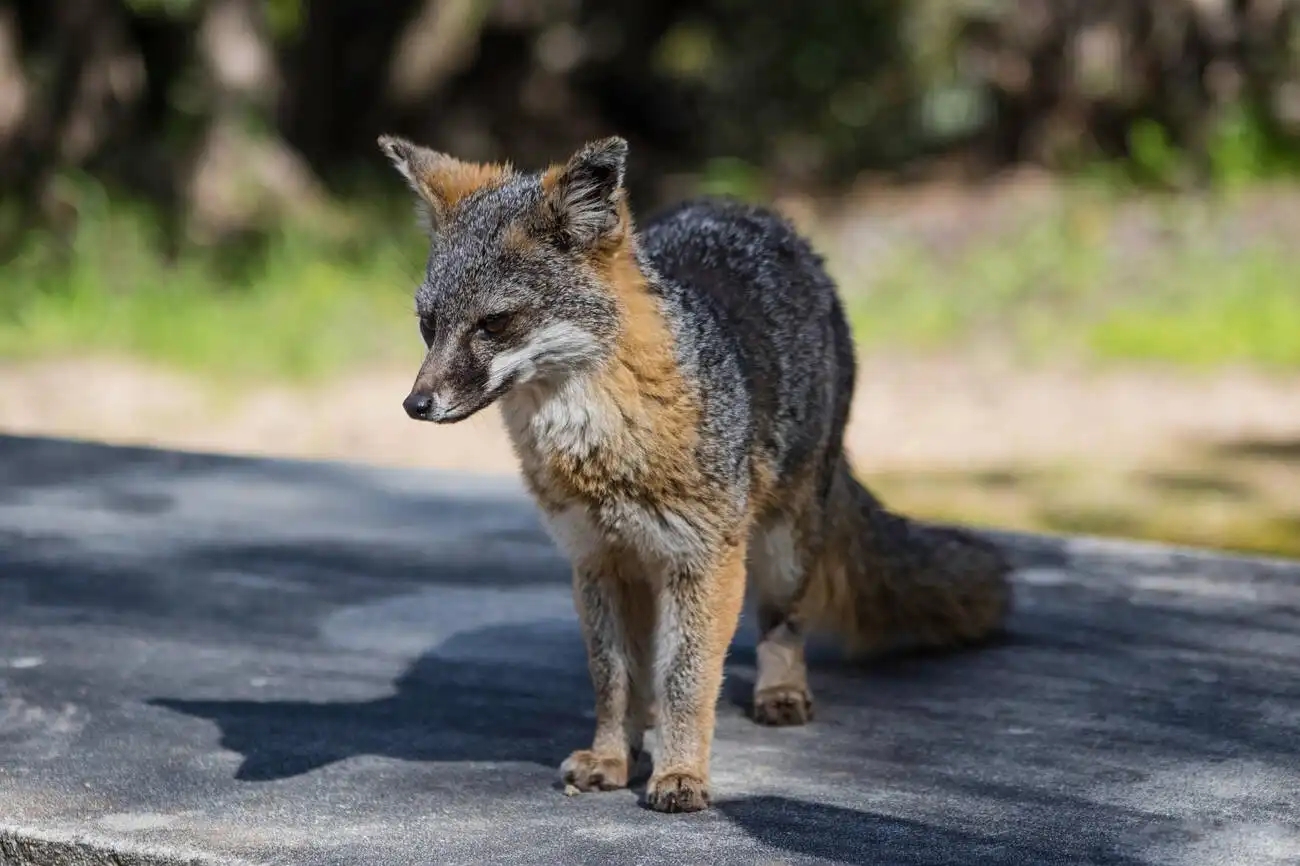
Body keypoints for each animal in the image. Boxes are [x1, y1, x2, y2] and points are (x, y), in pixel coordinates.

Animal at [379, 133, 1013, 811]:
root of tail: (751, 211)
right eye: (428, 326)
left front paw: (681, 774)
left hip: (783, 550)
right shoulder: (597, 561)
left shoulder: (704, 559)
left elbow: (688, 678)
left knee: (781, 626)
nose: (415, 405)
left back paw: (779, 692)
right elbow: (614, 680)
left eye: (494, 324)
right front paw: (612, 757)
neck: (605, 449)